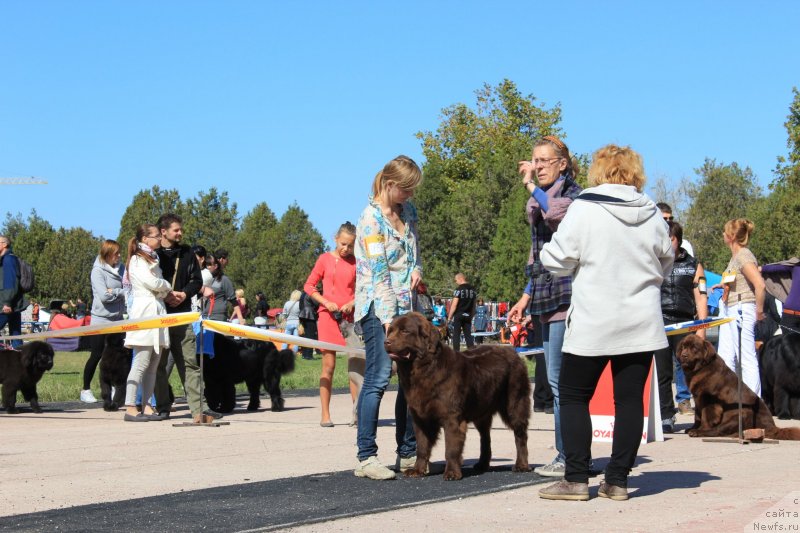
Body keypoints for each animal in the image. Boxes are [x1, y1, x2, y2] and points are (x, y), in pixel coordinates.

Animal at [386, 310, 532, 480]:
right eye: (390, 331)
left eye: (405, 331)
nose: (386, 342)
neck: (424, 369)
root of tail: (514, 353)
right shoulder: (421, 418)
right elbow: (421, 447)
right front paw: (417, 470)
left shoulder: (452, 418)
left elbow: (451, 448)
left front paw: (451, 473)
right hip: (481, 411)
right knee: (485, 437)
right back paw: (482, 464)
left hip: (515, 404)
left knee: (520, 435)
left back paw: (521, 465)